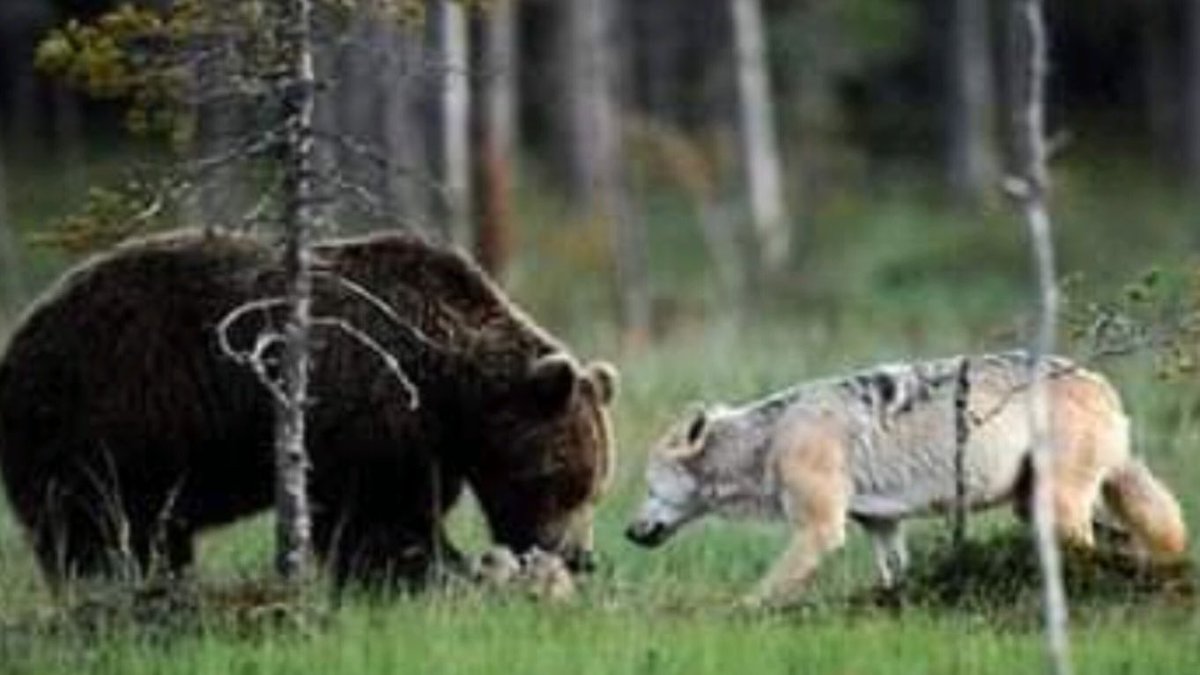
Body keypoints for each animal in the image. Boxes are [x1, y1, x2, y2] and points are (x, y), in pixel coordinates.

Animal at [0, 229, 618, 589]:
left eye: (595, 487)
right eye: (564, 481)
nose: (577, 557)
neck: (448, 383)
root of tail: (20, 338)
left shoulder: (428, 439)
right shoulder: (372, 410)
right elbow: (379, 521)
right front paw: (433, 573)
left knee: (153, 535)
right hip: (103, 418)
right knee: (95, 528)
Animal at [625, 352, 1188, 607]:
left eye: (650, 488)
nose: (629, 532)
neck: (770, 440)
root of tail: (1102, 384)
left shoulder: (820, 530)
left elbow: (765, 589)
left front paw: (738, 613)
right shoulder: (882, 526)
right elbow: (894, 577)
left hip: (1055, 507)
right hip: (1036, 506)